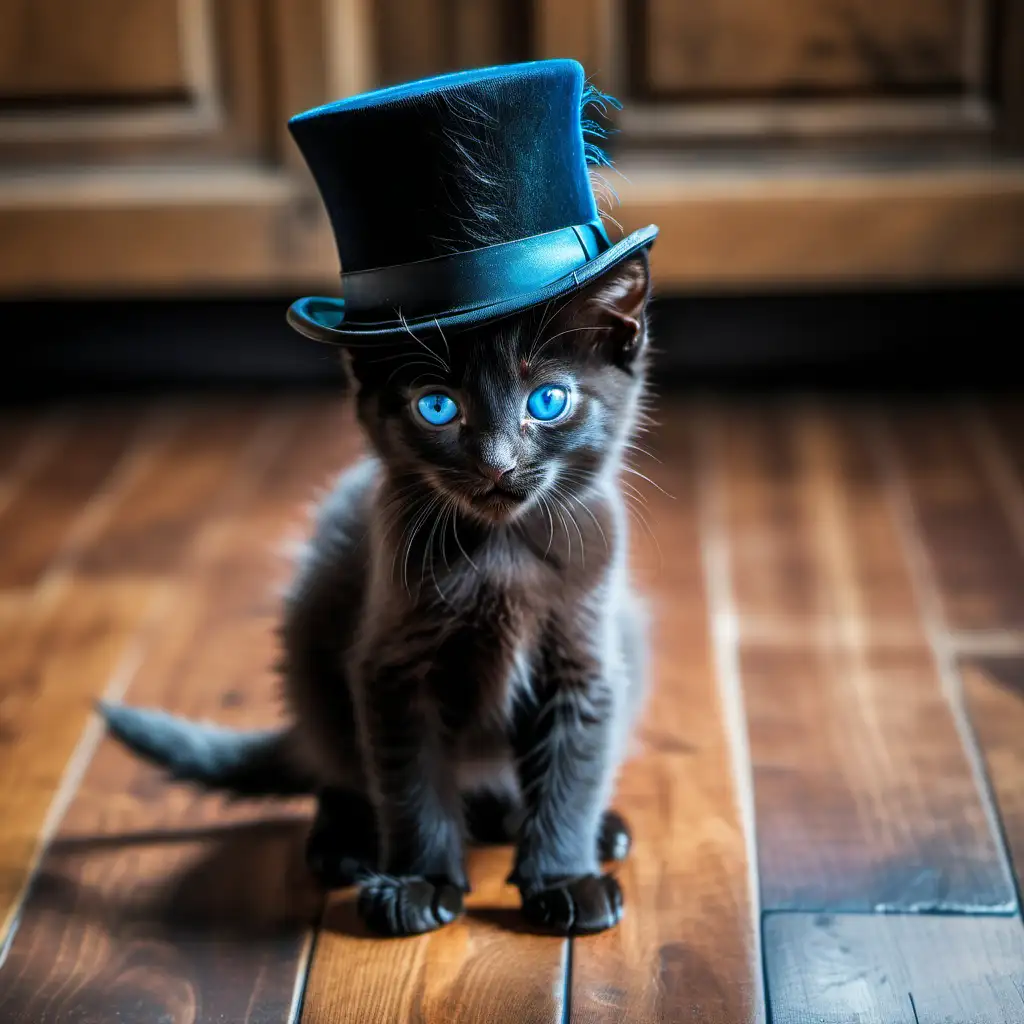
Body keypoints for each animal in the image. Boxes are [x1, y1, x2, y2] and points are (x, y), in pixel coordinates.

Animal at [99, 253, 651, 937]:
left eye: (548, 400)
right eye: (437, 407)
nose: (497, 464)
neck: (500, 556)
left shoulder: (584, 660)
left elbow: (572, 772)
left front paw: (564, 878)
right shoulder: (392, 666)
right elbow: (410, 782)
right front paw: (420, 882)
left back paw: (588, 830)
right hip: (310, 636)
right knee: (338, 768)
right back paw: (344, 845)